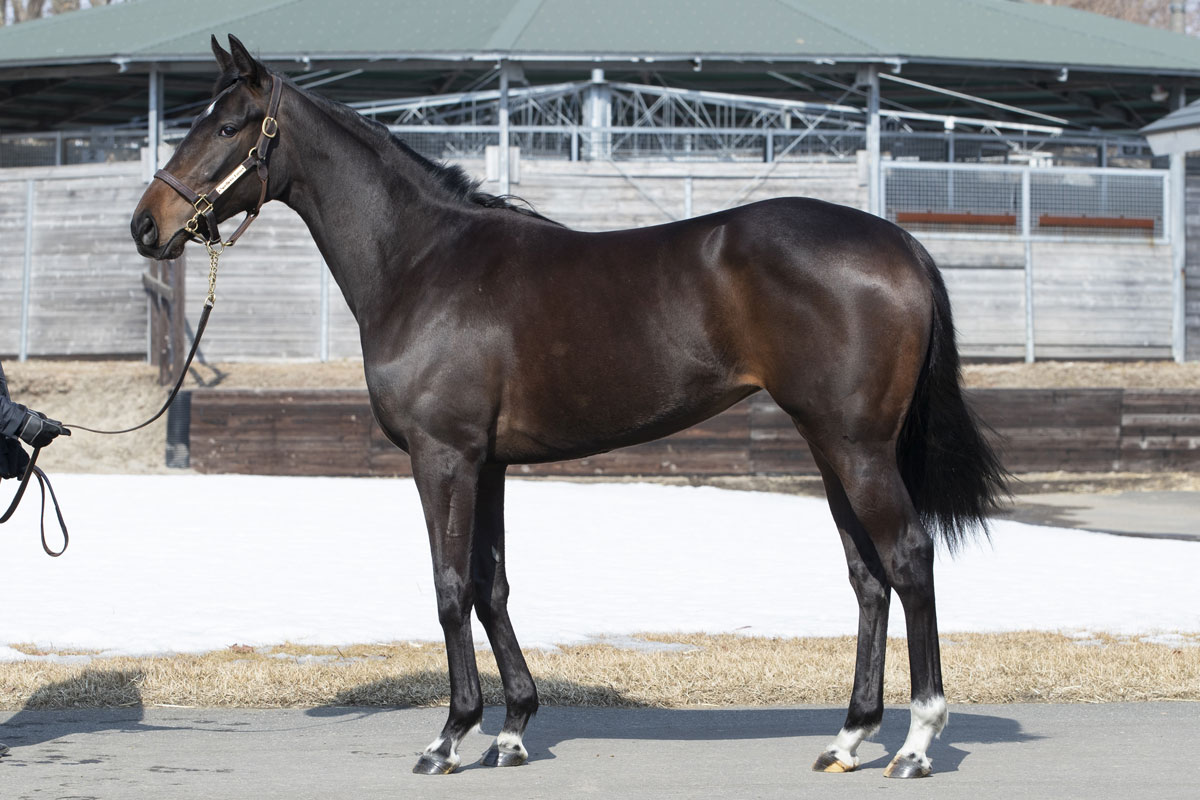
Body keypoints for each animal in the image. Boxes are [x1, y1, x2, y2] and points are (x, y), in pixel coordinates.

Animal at [132, 35, 1006, 779]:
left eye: (230, 125)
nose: (147, 224)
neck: (424, 261)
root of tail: (901, 244)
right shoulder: (487, 464)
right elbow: (491, 587)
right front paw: (513, 729)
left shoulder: (442, 456)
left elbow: (449, 588)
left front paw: (451, 737)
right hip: (831, 447)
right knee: (867, 578)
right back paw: (849, 737)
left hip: (857, 448)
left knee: (908, 559)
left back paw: (917, 743)